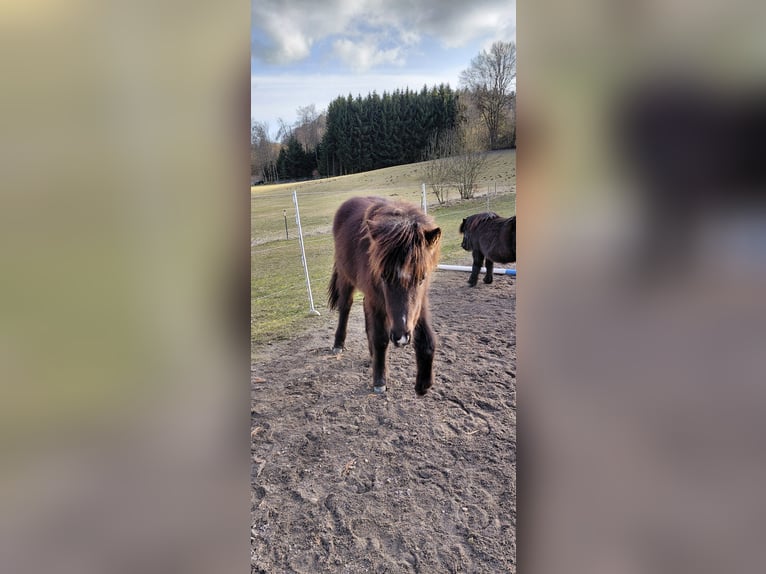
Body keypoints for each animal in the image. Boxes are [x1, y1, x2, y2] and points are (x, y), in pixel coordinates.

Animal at [328, 196, 442, 395]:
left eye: (422, 278)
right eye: (384, 276)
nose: (401, 337)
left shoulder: (419, 304)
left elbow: (427, 339)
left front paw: (424, 383)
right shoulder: (378, 302)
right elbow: (380, 338)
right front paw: (380, 380)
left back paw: (371, 356)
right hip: (345, 278)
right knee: (345, 307)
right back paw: (338, 344)